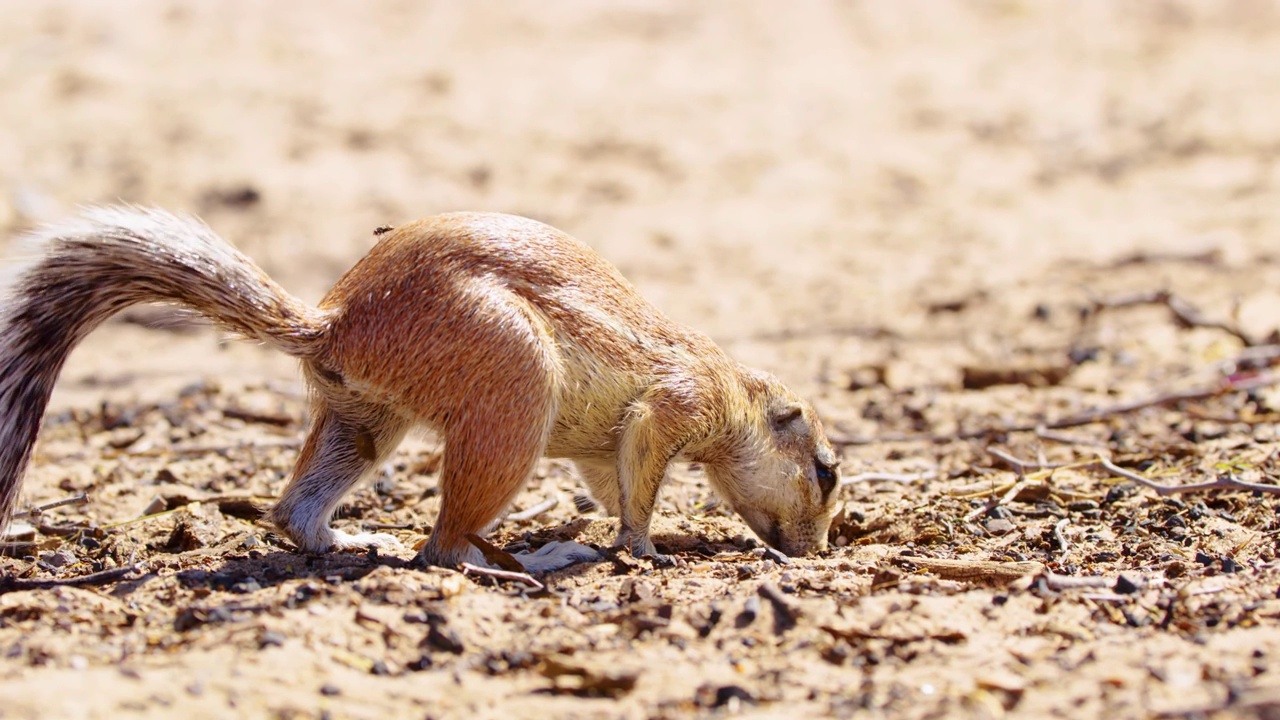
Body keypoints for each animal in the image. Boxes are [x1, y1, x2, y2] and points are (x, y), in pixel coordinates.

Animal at [0, 207, 839, 571]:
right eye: (827, 473)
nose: (820, 552)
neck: (739, 392)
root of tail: (335, 323)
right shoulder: (680, 403)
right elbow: (639, 480)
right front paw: (644, 545)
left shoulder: (610, 447)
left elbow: (615, 477)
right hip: (513, 389)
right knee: (441, 549)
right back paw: (529, 560)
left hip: (362, 415)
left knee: (293, 508)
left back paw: (350, 539)